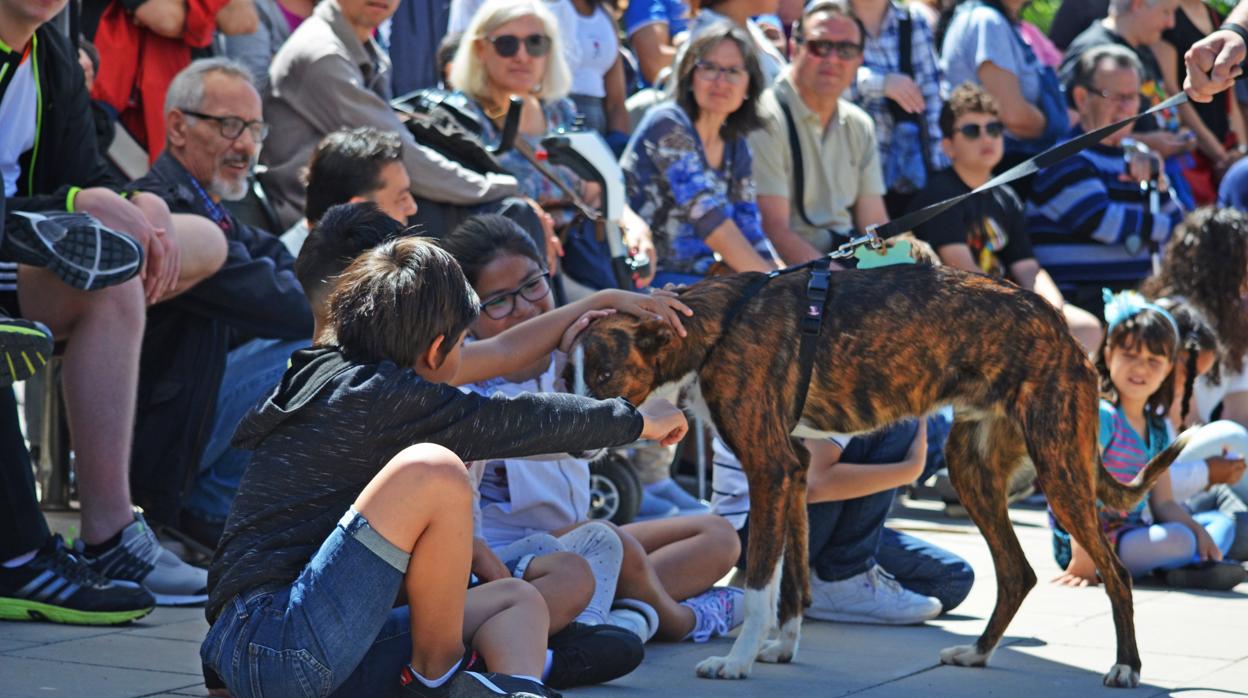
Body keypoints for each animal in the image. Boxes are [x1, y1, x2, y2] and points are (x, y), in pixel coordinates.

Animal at [569, 263, 1188, 689]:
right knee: (1017, 573)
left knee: (1115, 573)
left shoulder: (771, 471)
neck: (719, 326)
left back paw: (1127, 668)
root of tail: (1063, 328)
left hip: (1059, 469)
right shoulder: (796, 473)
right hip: (974, 471)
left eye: (603, 374)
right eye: (567, 372)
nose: (580, 433)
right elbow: (793, 581)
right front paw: (782, 650)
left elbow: (762, 583)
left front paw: (737, 662)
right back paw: (978, 654)